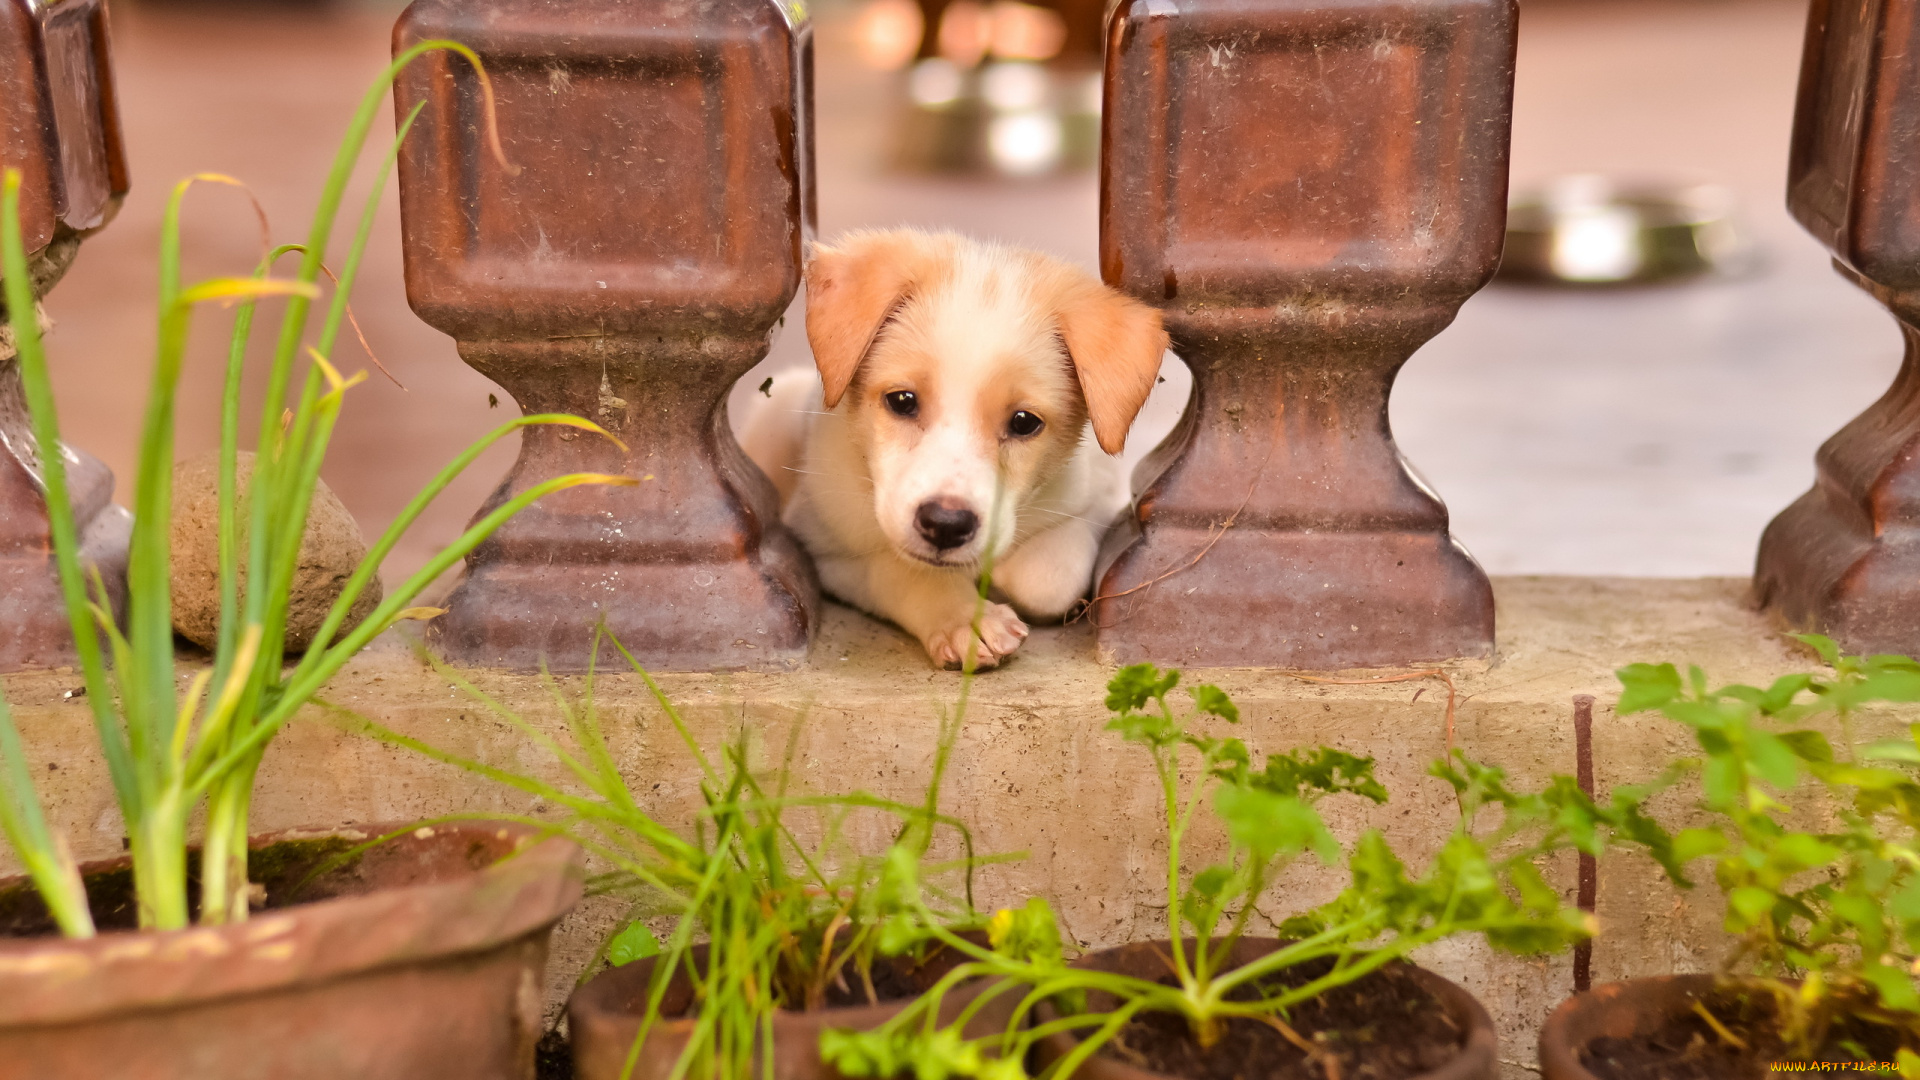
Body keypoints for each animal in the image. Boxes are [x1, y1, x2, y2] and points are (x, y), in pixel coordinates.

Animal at [737, 226, 1159, 664]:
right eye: (902, 400)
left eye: (1024, 422)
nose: (945, 525)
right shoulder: (823, 545)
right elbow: (899, 568)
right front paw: (963, 617)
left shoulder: (1099, 497)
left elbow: (1050, 578)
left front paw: (998, 573)